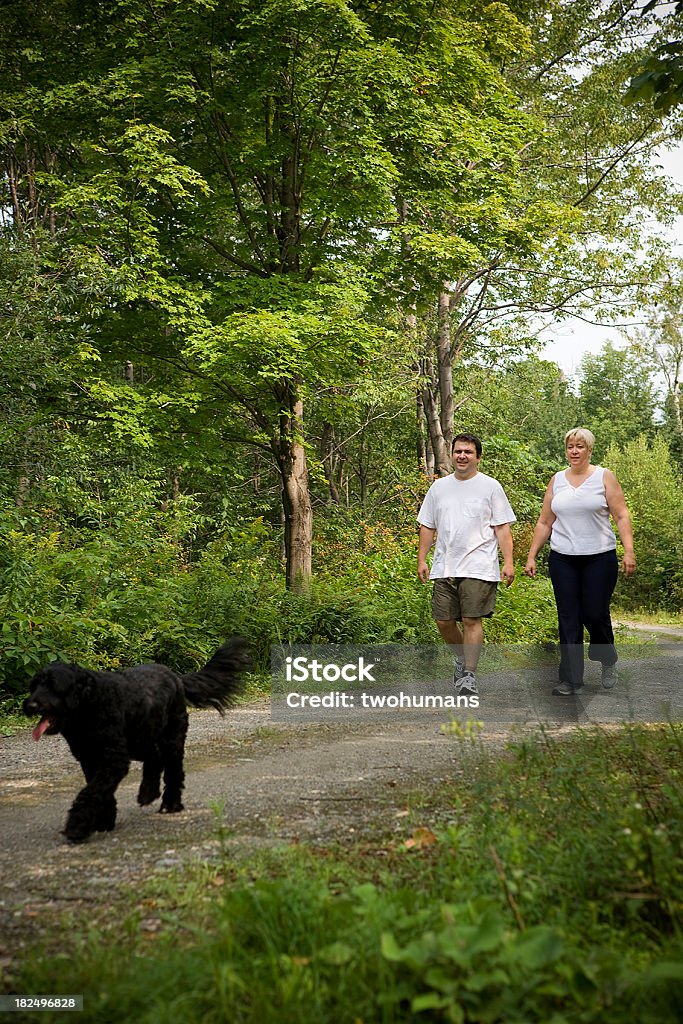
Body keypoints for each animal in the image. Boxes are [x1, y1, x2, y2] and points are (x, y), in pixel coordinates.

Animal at [23, 638, 250, 847]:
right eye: (34, 685)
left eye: (54, 686)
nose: (31, 705)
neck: (90, 704)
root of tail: (176, 677)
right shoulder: (91, 759)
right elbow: (99, 791)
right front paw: (104, 820)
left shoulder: (113, 759)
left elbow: (91, 792)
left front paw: (77, 826)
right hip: (140, 741)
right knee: (155, 759)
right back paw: (148, 792)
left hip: (170, 740)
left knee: (173, 771)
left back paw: (170, 803)